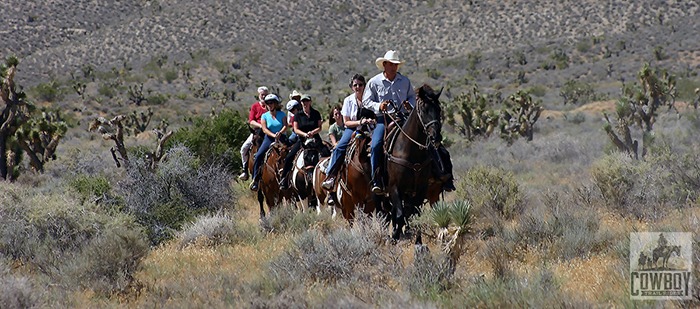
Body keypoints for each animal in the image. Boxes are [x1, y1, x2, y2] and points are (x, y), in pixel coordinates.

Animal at [382, 83, 442, 238]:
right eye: (424, 110)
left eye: (439, 109)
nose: (436, 137)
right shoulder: (394, 187)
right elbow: (399, 215)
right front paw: (395, 235)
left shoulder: (421, 188)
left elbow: (413, 214)